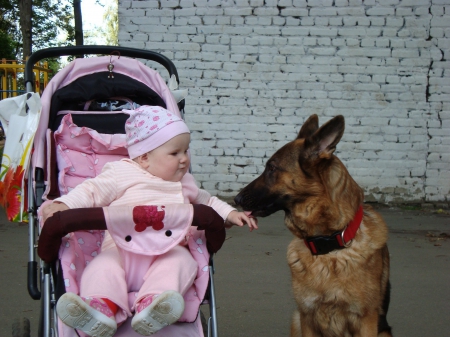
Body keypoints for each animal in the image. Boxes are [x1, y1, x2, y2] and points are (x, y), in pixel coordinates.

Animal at [234, 114, 392, 334]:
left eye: (272, 168)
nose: (236, 199)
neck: (328, 245)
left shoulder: (366, 321)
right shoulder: (307, 317)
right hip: (295, 319)